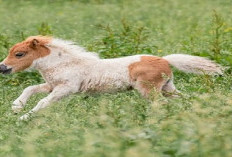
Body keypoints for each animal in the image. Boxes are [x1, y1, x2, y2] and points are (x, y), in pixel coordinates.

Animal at [0, 36, 221, 119]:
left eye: (19, 54)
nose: (2, 67)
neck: (64, 64)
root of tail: (164, 59)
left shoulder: (66, 88)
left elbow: (44, 102)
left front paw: (23, 118)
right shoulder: (52, 85)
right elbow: (30, 89)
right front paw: (17, 107)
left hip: (149, 90)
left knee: (163, 105)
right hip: (168, 88)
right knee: (183, 100)